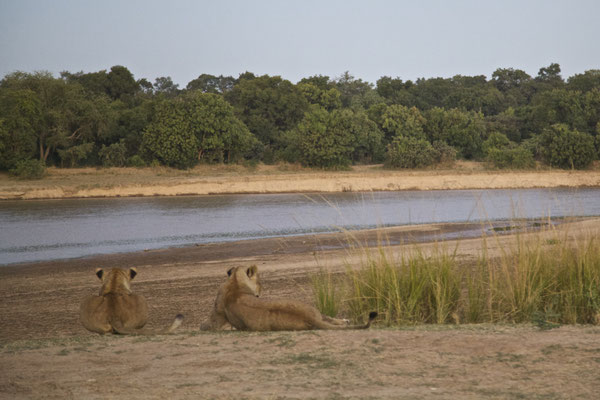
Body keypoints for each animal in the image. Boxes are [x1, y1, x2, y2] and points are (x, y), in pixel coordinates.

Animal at [210, 266, 376, 332]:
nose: (260, 292)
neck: (235, 285)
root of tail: (309, 317)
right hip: (314, 310)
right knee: (328, 318)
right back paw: (345, 321)